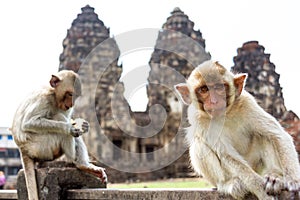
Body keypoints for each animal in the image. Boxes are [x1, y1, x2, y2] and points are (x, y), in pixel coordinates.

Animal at [12, 70, 108, 200]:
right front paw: (69, 127)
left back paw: (83, 165)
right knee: (58, 119)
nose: (71, 104)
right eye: (70, 94)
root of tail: (23, 149)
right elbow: (28, 123)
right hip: (40, 147)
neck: (54, 95)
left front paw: (83, 126)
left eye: (75, 96)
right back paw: (72, 156)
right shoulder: (44, 98)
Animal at [175, 60, 300, 199]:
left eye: (219, 87)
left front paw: (293, 180)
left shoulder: (247, 102)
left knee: (264, 135)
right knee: (199, 144)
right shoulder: (198, 119)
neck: (225, 114)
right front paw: (262, 192)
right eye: (204, 89)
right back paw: (227, 184)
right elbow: (226, 154)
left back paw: (275, 176)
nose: (214, 101)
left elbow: (277, 135)